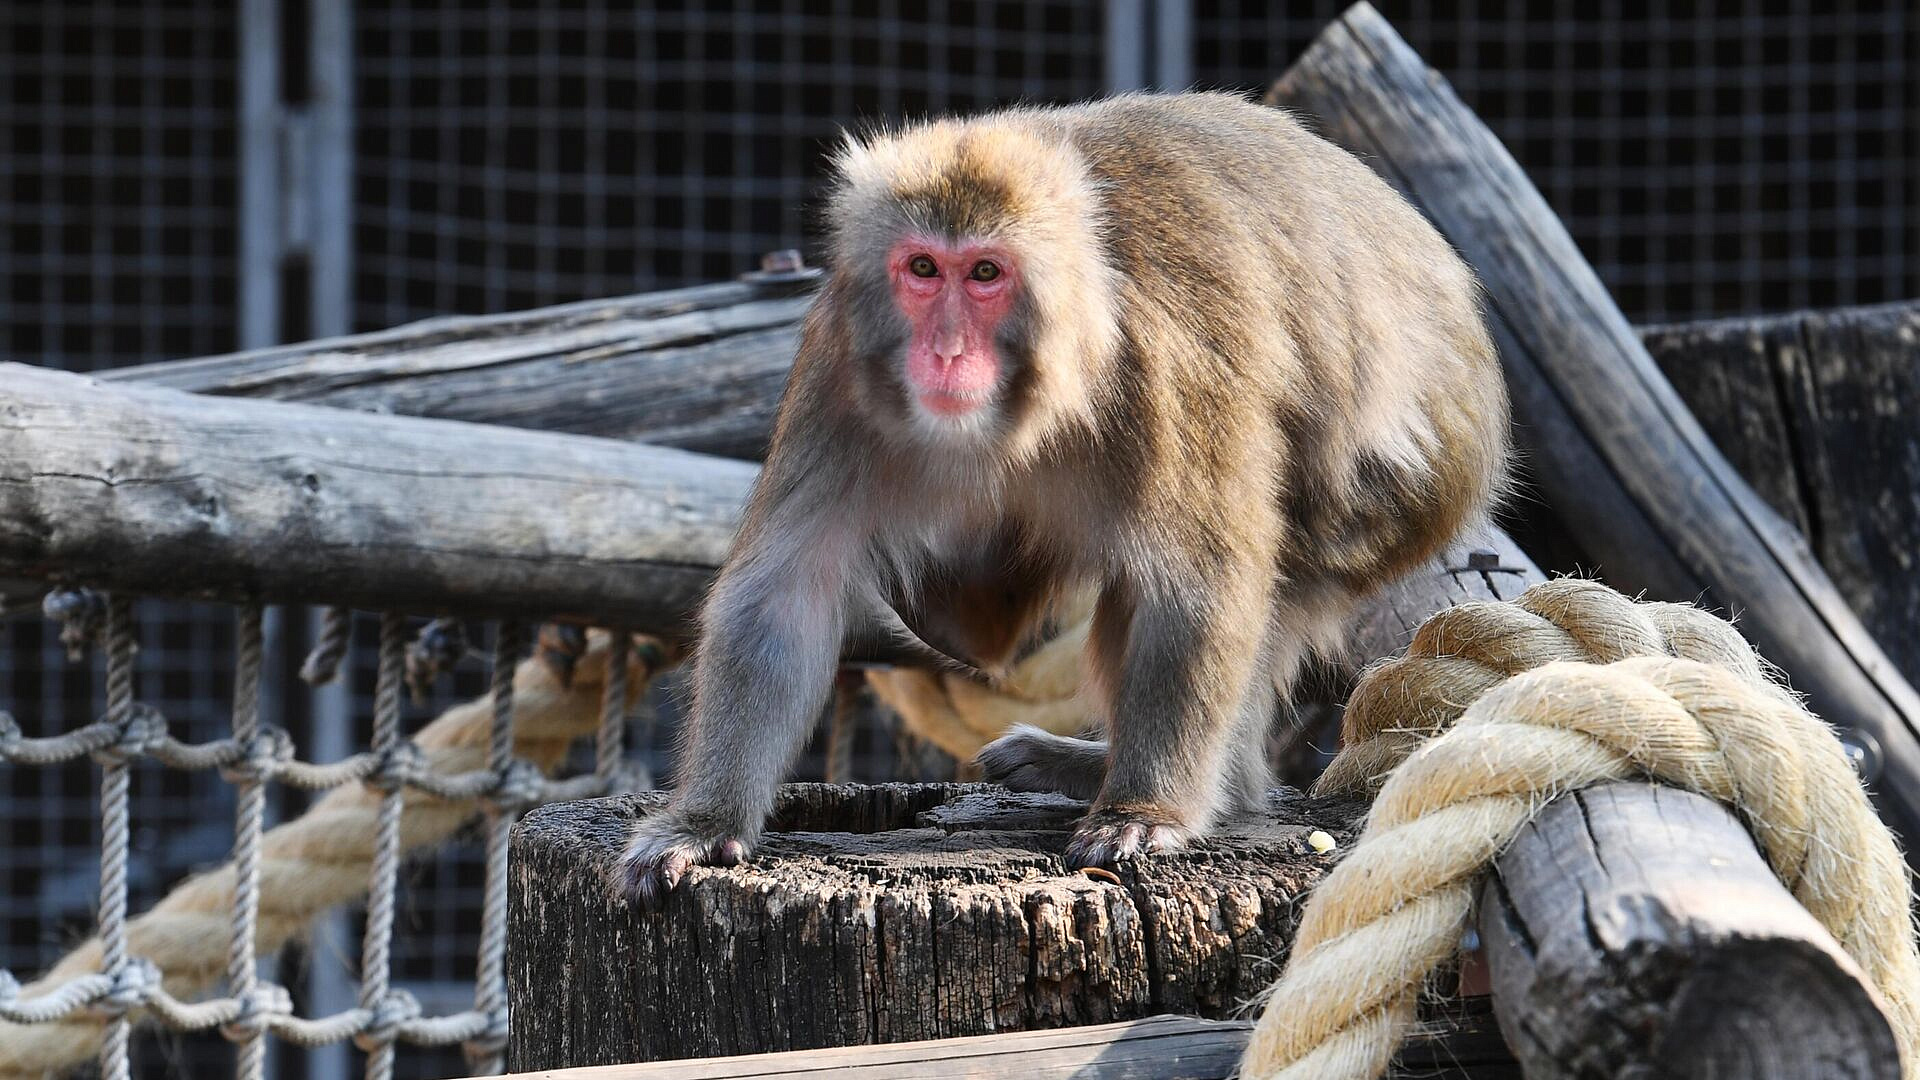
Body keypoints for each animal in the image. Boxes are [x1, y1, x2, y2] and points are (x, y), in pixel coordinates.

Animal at [622, 92, 1509, 903]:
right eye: (923, 269)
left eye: (986, 273)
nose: (945, 352)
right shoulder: (838, 366)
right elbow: (783, 594)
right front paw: (702, 824)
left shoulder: (1164, 371)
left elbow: (1196, 586)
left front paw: (1146, 809)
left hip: (1397, 491)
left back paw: (1177, 783)